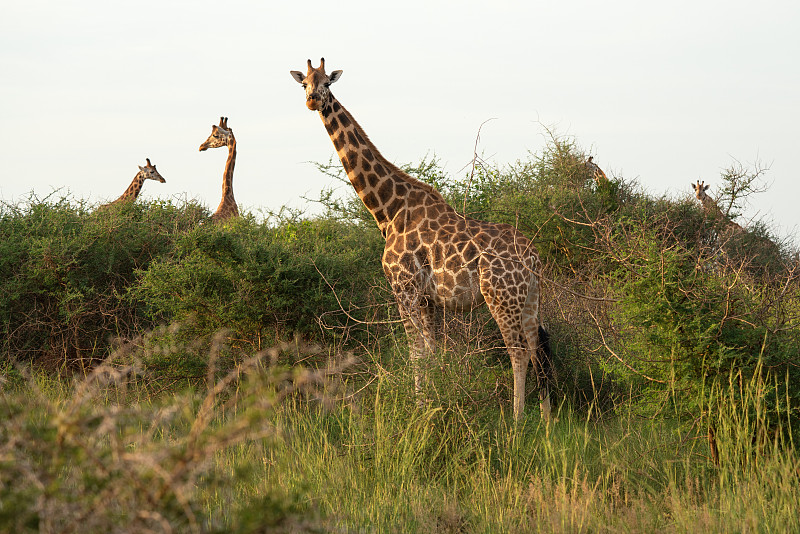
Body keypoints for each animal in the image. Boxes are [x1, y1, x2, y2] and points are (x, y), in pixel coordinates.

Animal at [290, 57, 552, 418]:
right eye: (304, 84)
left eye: (327, 83)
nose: (313, 100)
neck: (388, 210)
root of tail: (533, 257)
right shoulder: (431, 300)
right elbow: (434, 351)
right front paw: (438, 403)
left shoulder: (405, 289)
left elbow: (418, 353)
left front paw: (421, 410)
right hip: (530, 298)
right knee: (538, 347)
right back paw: (547, 420)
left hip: (501, 295)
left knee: (518, 350)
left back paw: (516, 420)